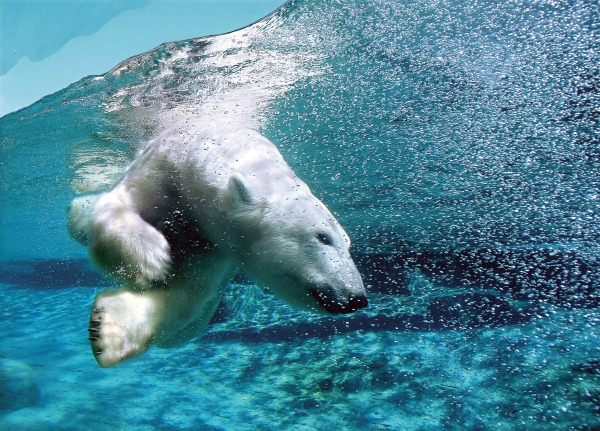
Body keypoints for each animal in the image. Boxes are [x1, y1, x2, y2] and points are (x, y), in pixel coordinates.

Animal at [71, 126, 370, 370]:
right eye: (322, 237)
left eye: (347, 242)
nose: (356, 298)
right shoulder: (162, 168)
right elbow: (117, 204)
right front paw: (151, 259)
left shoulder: (217, 247)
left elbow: (189, 292)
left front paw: (107, 329)